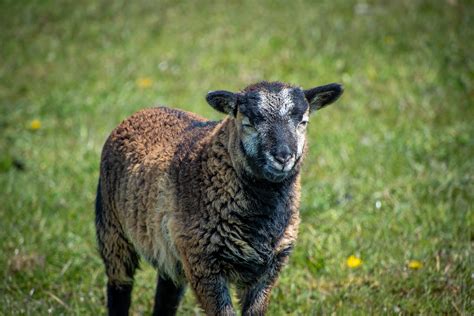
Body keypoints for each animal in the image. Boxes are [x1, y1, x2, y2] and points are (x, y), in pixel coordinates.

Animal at [94, 80, 342, 314]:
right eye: (248, 123)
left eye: (303, 122)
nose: (283, 157)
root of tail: (146, 110)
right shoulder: (204, 265)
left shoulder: (269, 269)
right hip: (112, 230)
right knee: (119, 287)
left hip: (169, 248)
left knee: (168, 291)